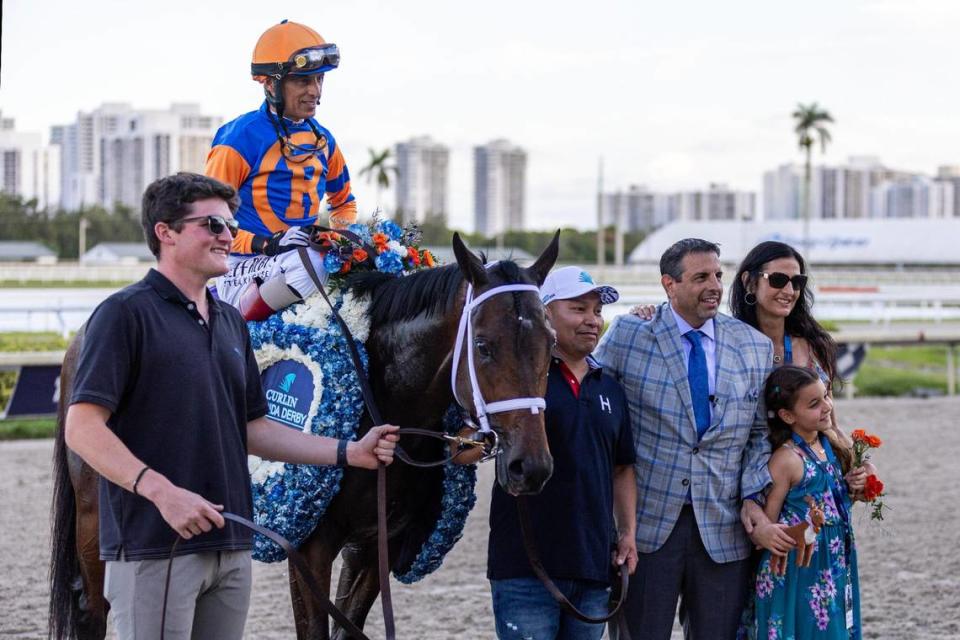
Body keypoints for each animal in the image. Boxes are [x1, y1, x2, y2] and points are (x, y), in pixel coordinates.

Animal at [50, 232, 564, 636]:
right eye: (483, 345)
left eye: (551, 345)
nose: (530, 466)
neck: (380, 393)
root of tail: (84, 335)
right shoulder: (309, 546)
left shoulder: (375, 544)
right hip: (97, 520)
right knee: (94, 610)